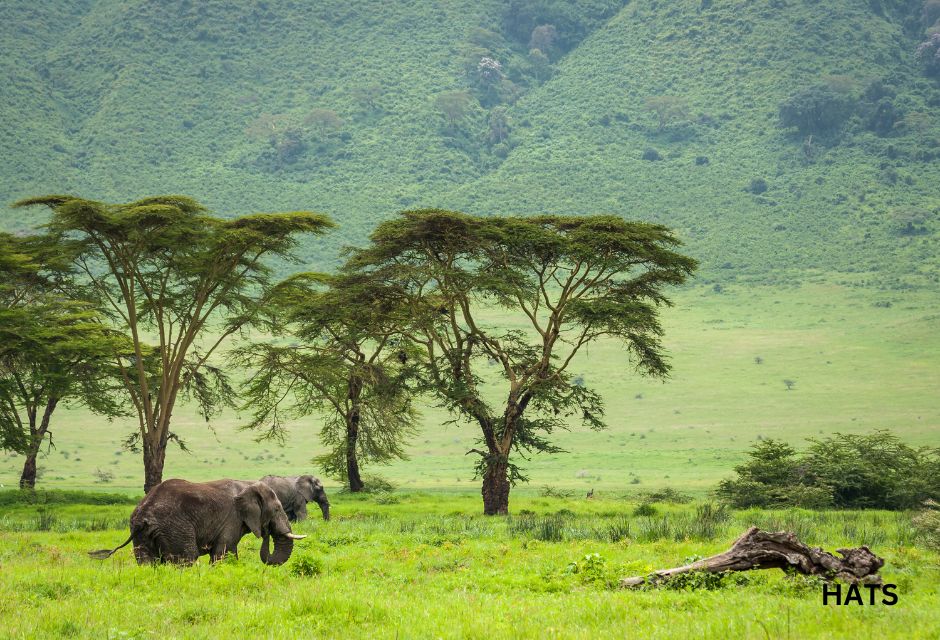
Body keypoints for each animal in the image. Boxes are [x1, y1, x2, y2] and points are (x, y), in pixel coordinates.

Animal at [88, 480, 304, 564]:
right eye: (277, 509)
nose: (267, 531)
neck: (248, 484)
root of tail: (144, 513)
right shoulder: (231, 519)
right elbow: (224, 553)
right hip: (174, 528)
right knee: (187, 558)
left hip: (140, 532)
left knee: (148, 562)